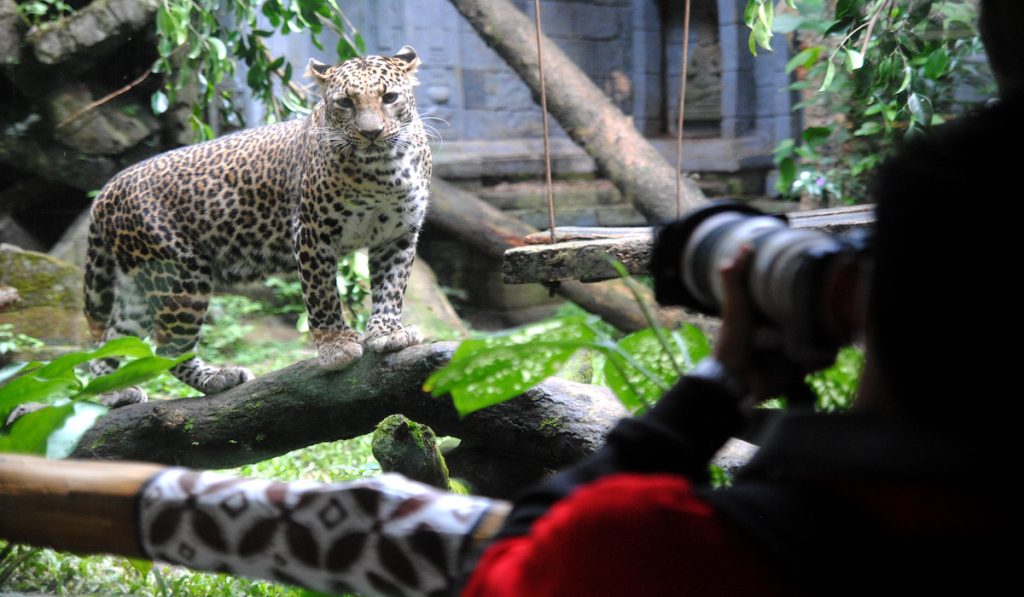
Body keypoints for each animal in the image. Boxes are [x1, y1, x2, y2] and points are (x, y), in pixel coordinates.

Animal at [81, 44, 430, 403]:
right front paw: (336, 347)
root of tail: (108, 189)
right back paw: (215, 378)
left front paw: (387, 332)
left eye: (389, 98)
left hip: (138, 282)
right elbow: (322, 295)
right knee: (167, 347)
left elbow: (391, 287)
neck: (383, 171)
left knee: (113, 337)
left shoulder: (397, 235)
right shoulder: (312, 232)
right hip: (180, 273)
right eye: (345, 102)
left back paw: (111, 392)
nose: (371, 133)